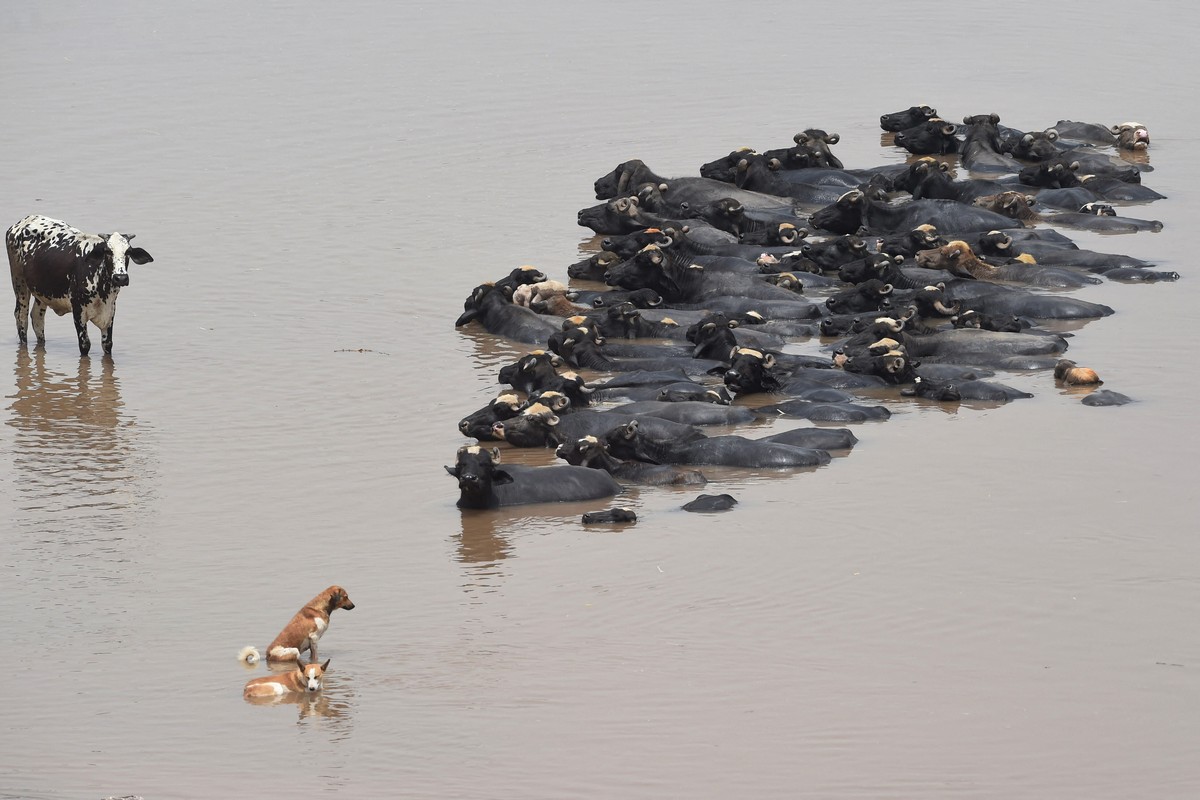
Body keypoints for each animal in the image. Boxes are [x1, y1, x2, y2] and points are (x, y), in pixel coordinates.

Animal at [7, 217, 153, 357]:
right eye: (107, 251)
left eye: (128, 251)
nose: (120, 278)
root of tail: (23, 221)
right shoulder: (78, 311)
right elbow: (85, 344)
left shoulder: (110, 311)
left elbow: (107, 344)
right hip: (19, 283)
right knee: (21, 316)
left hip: (41, 292)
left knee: (37, 318)